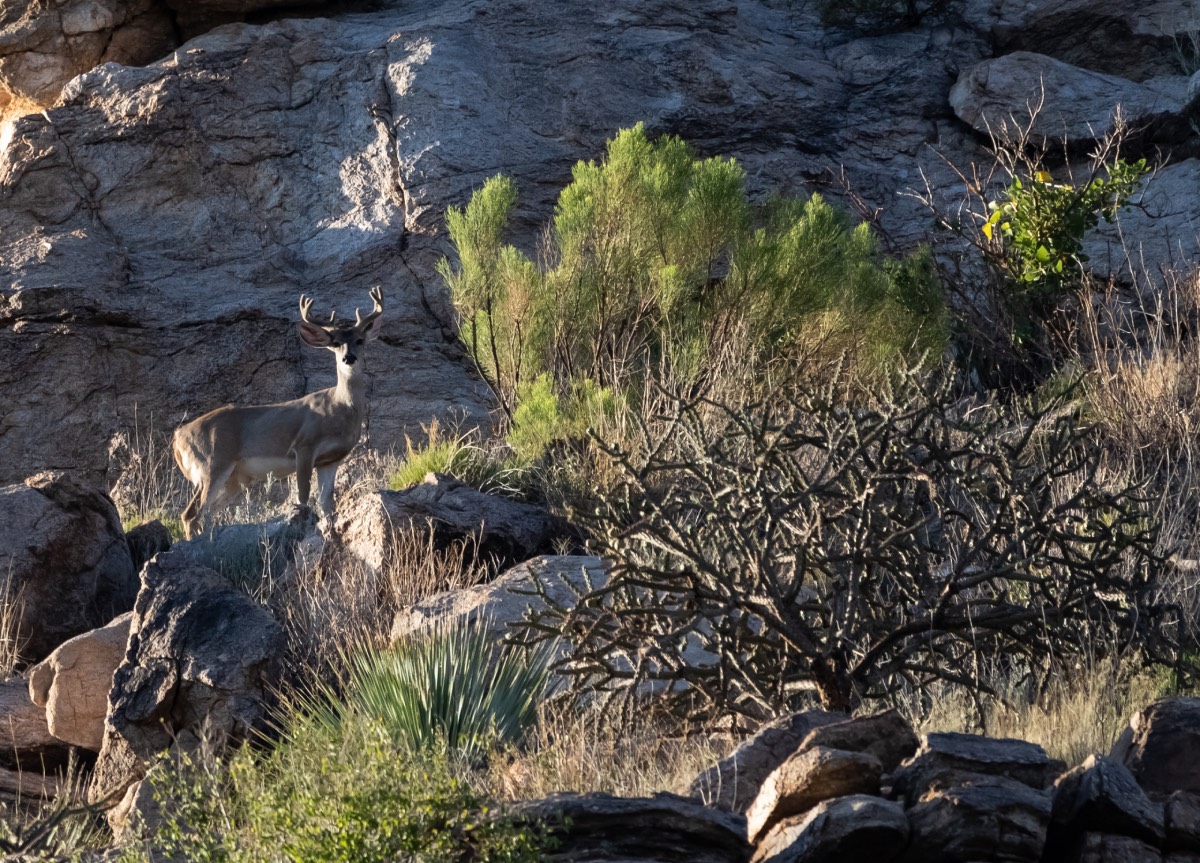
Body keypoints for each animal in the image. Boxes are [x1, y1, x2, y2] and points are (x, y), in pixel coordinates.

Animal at [174, 286, 384, 540]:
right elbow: (303, 497)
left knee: (205, 513)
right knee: (192, 514)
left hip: (236, 477)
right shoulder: (304, 446)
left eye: (360, 340)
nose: (348, 357)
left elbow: (327, 504)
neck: (339, 408)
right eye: (335, 343)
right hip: (212, 463)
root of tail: (177, 437)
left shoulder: (331, 460)